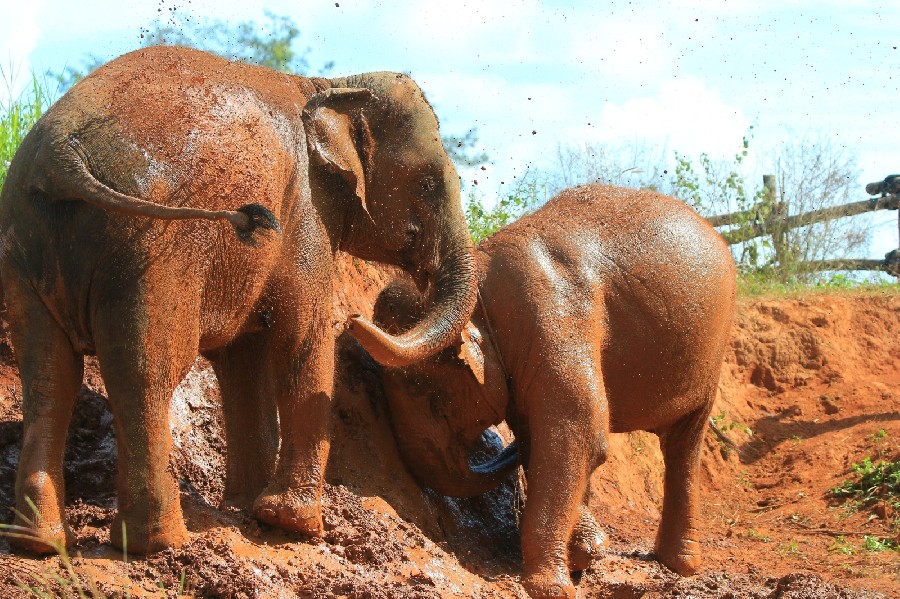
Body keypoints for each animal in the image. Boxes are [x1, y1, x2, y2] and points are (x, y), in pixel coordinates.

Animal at [0, 48, 478, 556]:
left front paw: (247, 506)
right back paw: (161, 543)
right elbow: (301, 335)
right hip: (150, 249)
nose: (355, 318)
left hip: (27, 240)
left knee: (49, 374)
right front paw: (293, 525)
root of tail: (60, 152)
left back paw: (41, 543)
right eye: (427, 184)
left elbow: (243, 359)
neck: (332, 84)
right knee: (146, 371)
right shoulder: (305, 212)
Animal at [372, 184, 740, 599]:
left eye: (419, 387)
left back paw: (679, 564)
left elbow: (577, 433)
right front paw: (585, 553)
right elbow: (542, 440)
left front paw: (549, 588)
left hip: (713, 351)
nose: (351, 321)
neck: (478, 287)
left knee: (684, 444)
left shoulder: (554, 313)